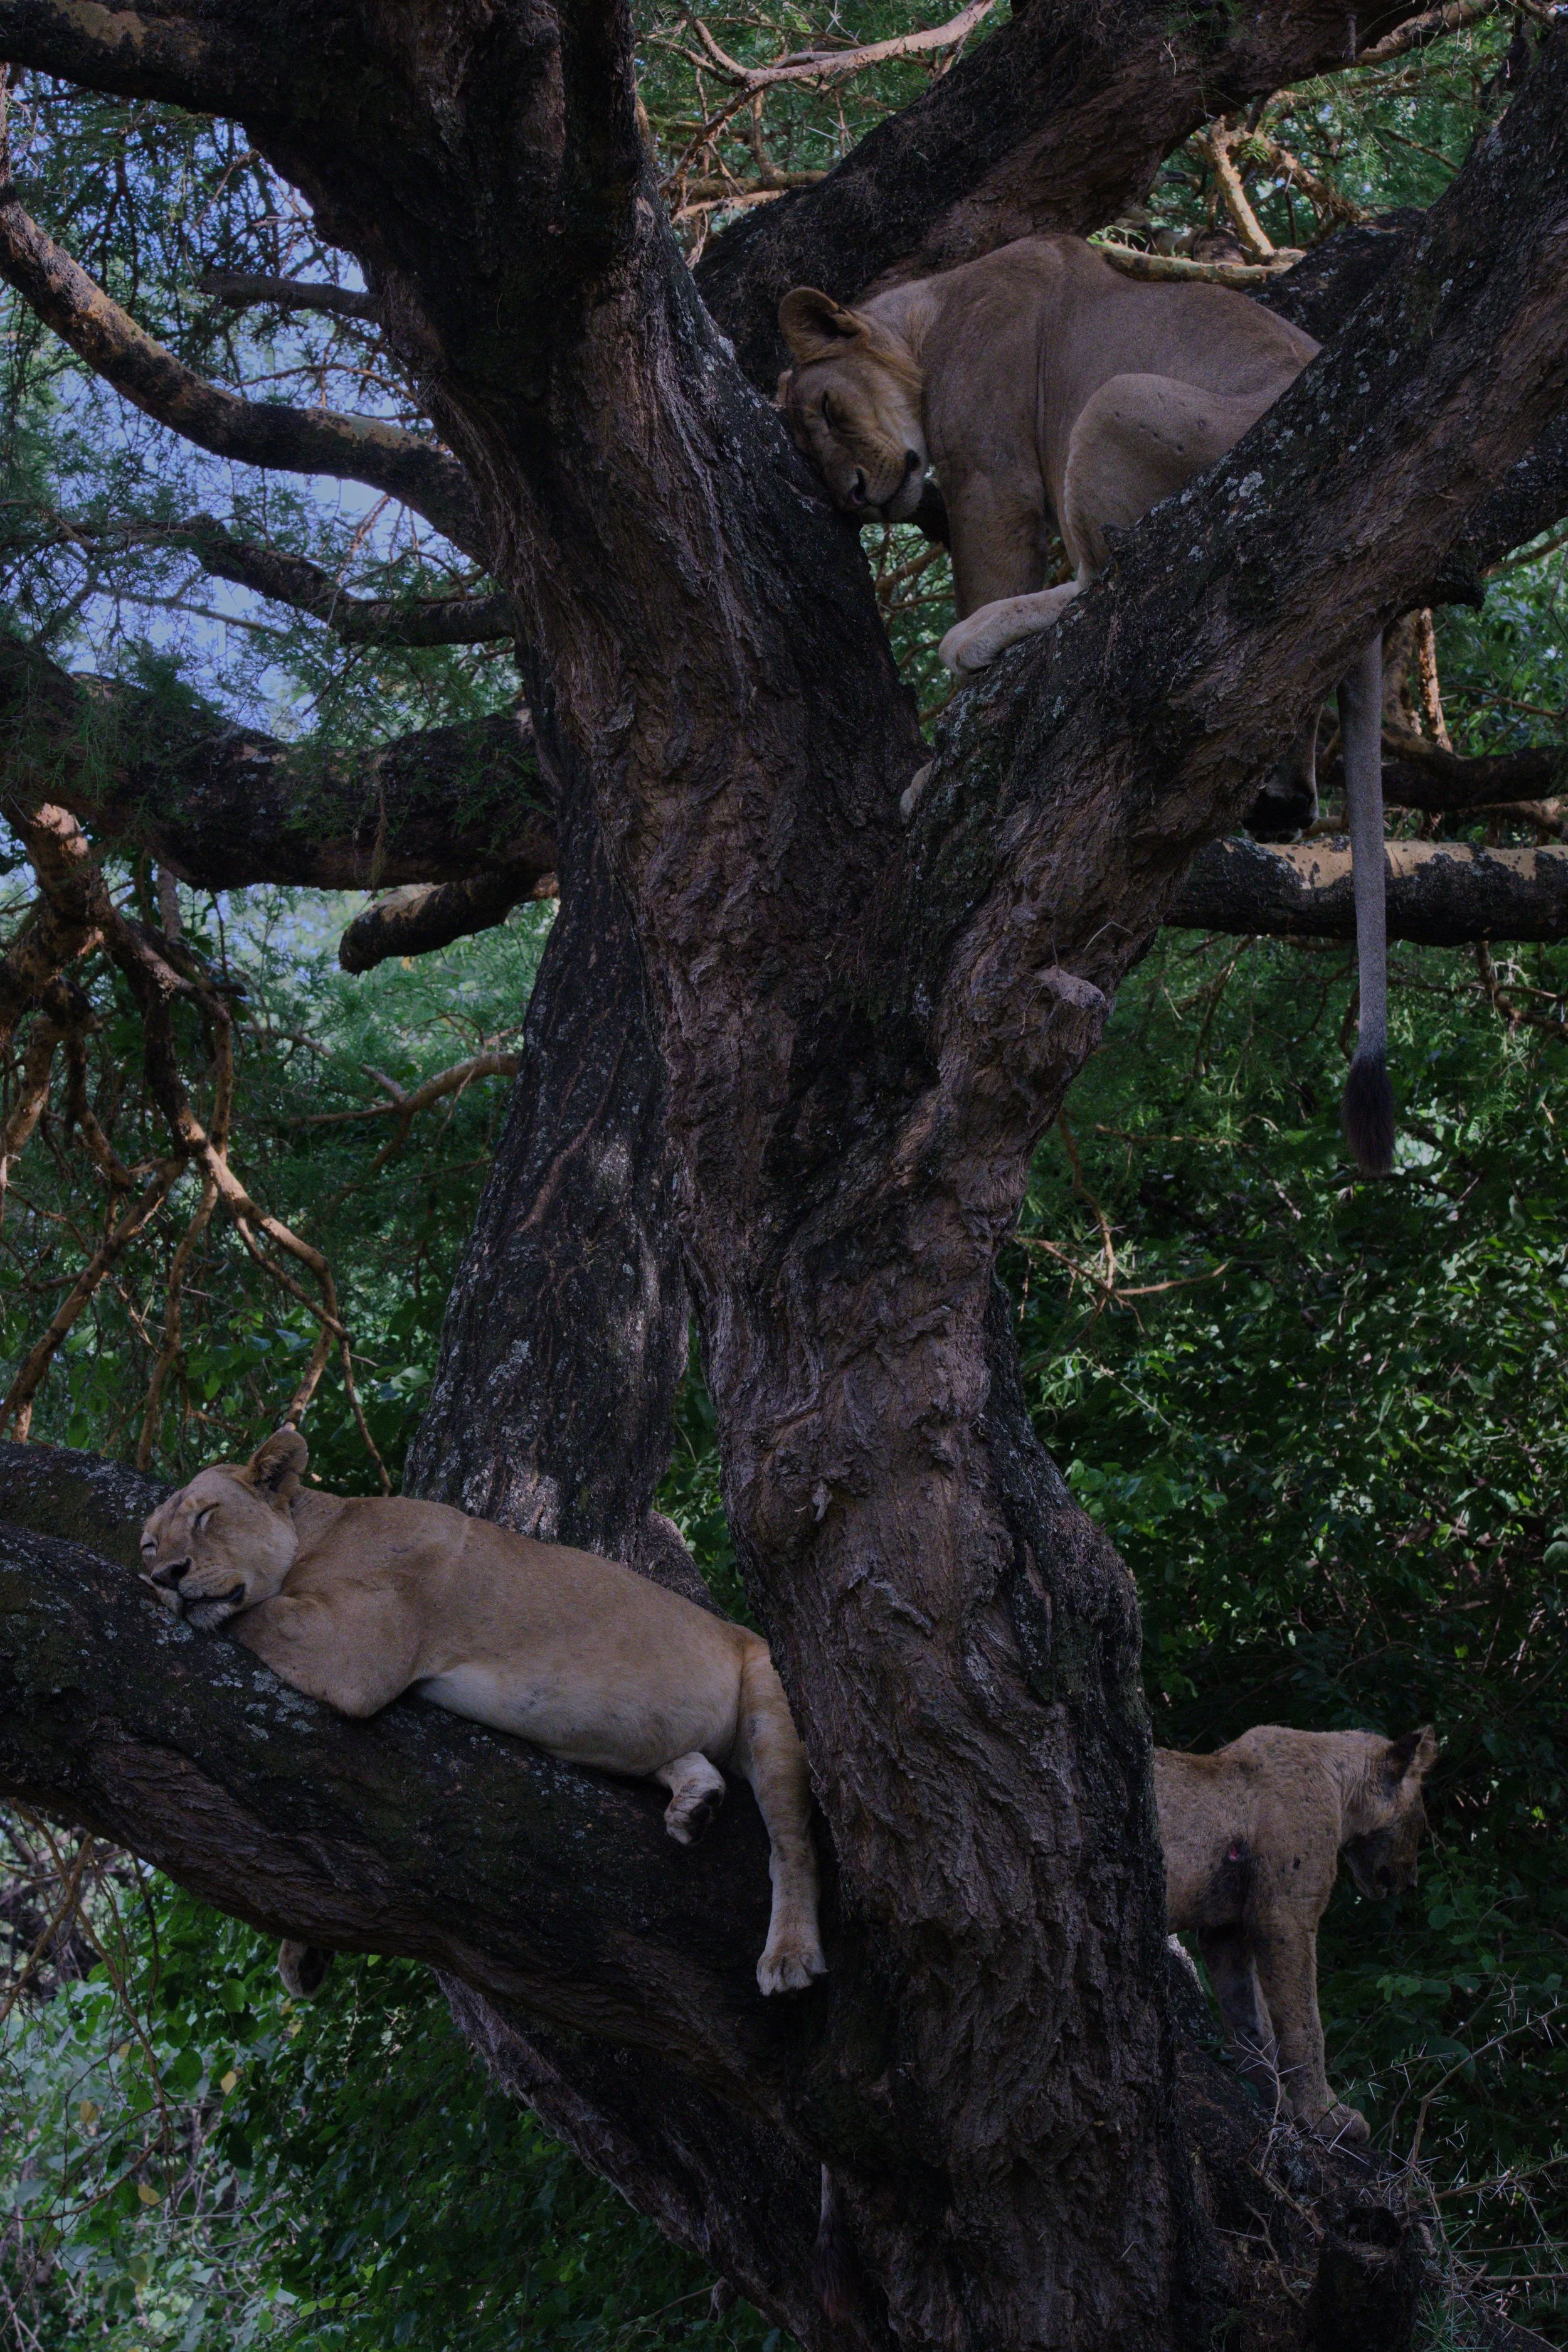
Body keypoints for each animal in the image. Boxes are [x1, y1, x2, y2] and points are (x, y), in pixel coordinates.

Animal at [139, 1429, 826, 1999]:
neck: (317, 1531)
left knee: (791, 1843)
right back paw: (694, 1801)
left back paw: (789, 1954)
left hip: (772, 1697)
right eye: (149, 1542)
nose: (164, 1575)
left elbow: (252, 1612)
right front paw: (301, 1951)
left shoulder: (356, 1649)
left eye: (205, 1515)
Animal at [778, 235, 1395, 1176]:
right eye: (809, 452)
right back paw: (1286, 794)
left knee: (1108, 580)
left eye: (829, 409)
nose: (852, 492)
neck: (928, 312)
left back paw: (982, 637)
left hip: (1117, 399)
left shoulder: (992, 483)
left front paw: (936, 766)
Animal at [1155, 1724, 1437, 2142]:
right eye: (1420, 1819)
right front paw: (1326, 2117)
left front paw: (1278, 2106)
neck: (1341, 1787)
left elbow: (1252, 2023)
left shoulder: (1227, 1929)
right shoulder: (1284, 1911)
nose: (1413, 1882)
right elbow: (1304, 2024)